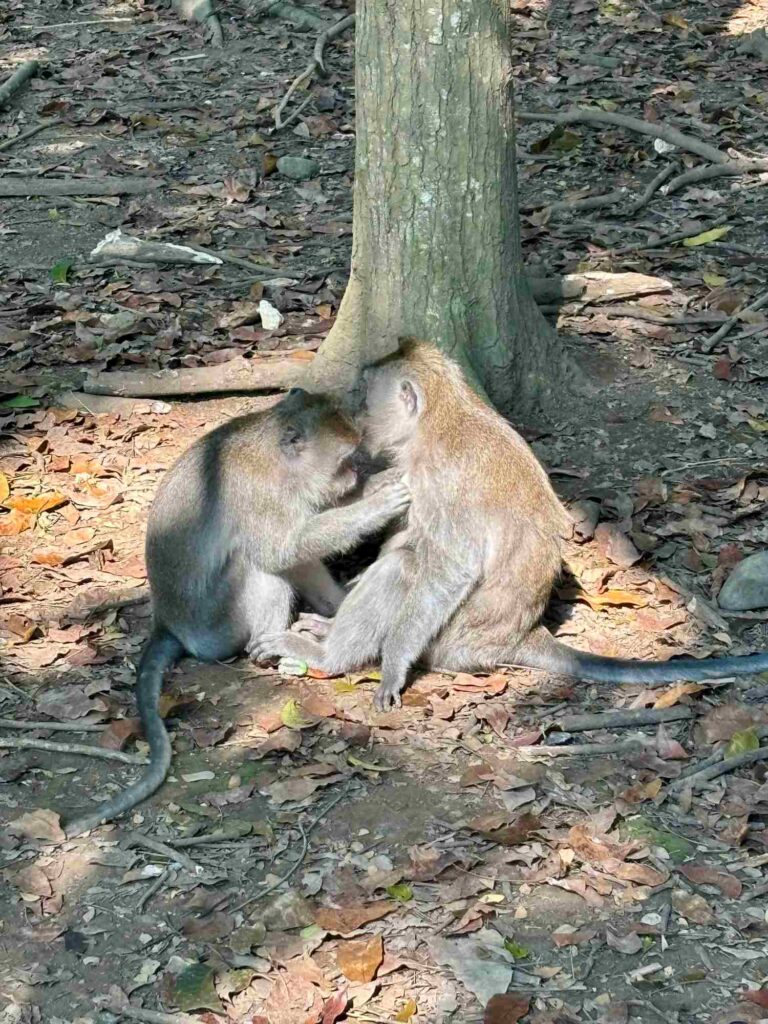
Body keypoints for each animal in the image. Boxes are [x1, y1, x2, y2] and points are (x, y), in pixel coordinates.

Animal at [66, 387, 411, 835]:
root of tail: (167, 623)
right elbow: (283, 548)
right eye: (345, 460)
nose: (356, 475)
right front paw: (377, 504)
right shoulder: (261, 497)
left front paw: (377, 485)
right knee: (260, 564)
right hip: (217, 626)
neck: (275, 459)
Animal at [252, 339, 768, 708]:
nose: (356, 418)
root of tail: (519, 635)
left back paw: (329, 657)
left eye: (363, 397)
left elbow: (450, 569)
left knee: (405, 568)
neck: (443, 418)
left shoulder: (440, 476)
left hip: (453, 641)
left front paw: (393, 664)